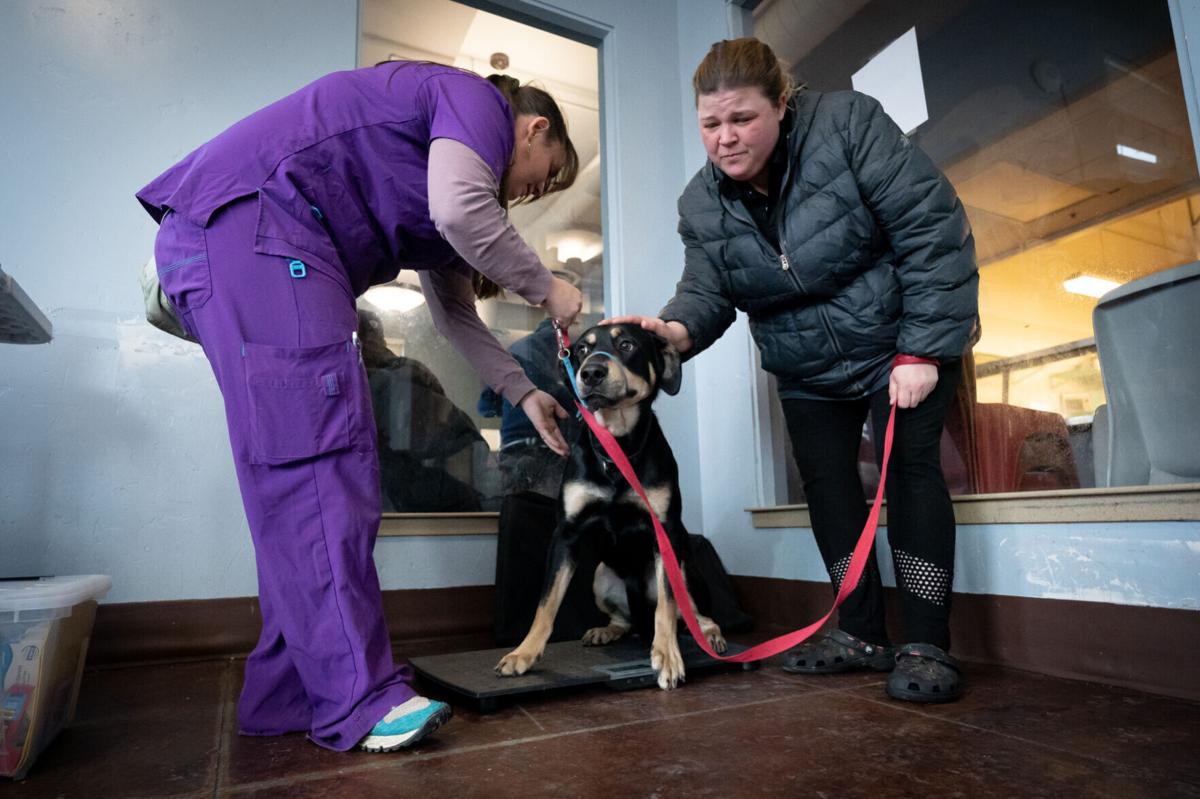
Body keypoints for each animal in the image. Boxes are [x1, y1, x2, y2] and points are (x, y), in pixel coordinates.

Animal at [494, 321, 724, 686]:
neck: (616, 447)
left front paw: (667, 655)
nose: (591, 373)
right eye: (581, 350)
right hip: (601, 575)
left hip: (685, 570)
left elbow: (667, 605)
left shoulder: (666, 531)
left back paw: (709, 633)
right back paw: (607, 631)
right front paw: (523, 653)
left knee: (693, 614)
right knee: (625, 621)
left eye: (627, 344)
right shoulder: (566, 534)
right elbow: (546, 603)